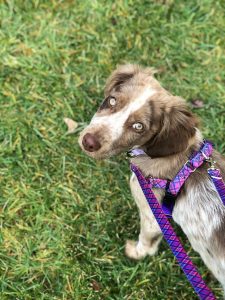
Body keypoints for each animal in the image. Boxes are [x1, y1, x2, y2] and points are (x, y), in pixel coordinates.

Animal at [78, 63, 225, 292]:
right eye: (112, 100)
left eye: (138, 126)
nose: (88, 141)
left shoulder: (152, 213)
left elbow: (146, 241)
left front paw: (136, 253)